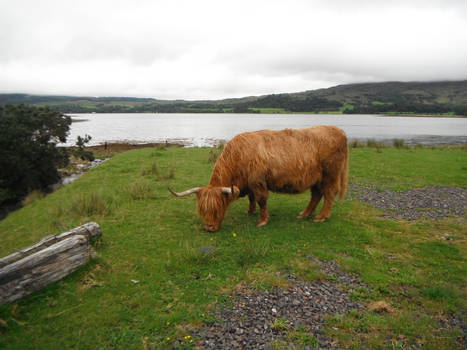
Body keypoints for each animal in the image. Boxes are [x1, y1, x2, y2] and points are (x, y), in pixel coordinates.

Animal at [170, 126, 350, 232]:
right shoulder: (249, 183)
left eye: (217, 208)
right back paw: (304, 214)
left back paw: (321, 217)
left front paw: (262, 220)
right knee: (316, 194)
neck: (238, 155)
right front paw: (250, 211)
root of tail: (338, 130)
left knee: (329, 194)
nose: (210, 228)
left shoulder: (258, 181)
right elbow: (252, 198)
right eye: (202, 210)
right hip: (316, 178)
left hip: (330, 174)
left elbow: (261, 199)